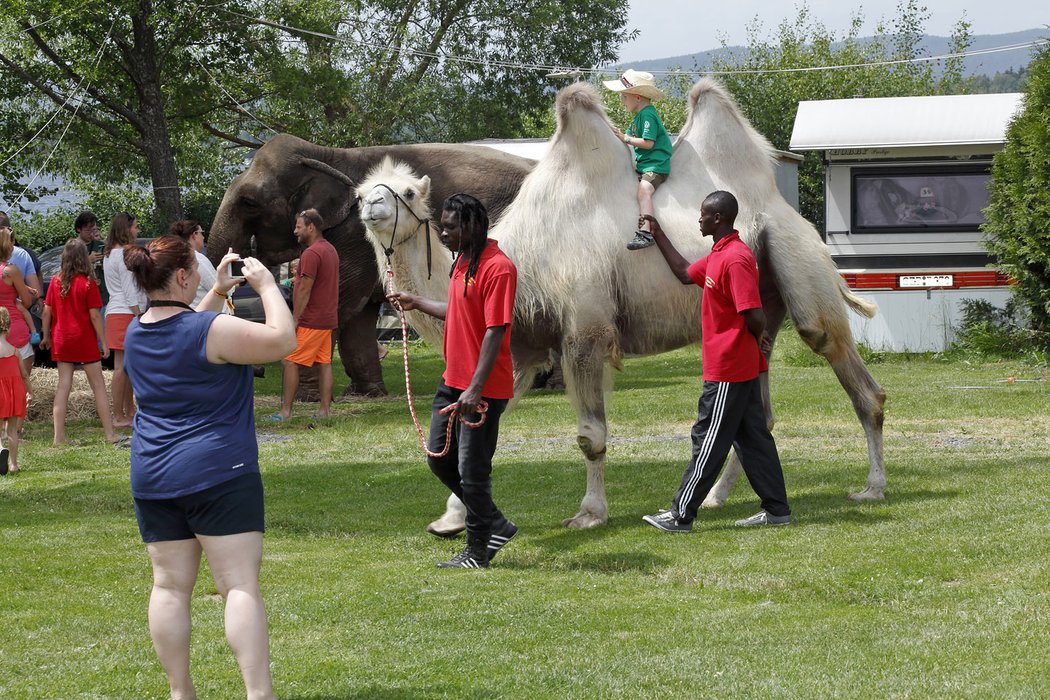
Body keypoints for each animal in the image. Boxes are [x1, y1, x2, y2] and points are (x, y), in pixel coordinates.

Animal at [206, 131, 533, 394]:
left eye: (249, 202)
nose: (259, 372)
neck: (325, 154)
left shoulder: (352, 237)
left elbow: (339, 302)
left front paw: (303, 398)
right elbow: (358, 315)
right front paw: (367, 393)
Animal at [354, 79, 886, 531]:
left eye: (405, 192)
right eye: (361, 192)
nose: (370, 208)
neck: (522, 258)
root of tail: (783, 207)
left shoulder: (585, 332)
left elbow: (590, 436)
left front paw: (590, 513)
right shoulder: (522, 345)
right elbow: (481, 419)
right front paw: (452, 515)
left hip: (798, 261)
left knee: (846, 366)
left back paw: (872, 487)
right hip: (763, 310)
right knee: (759, 404)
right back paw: (718, 497)